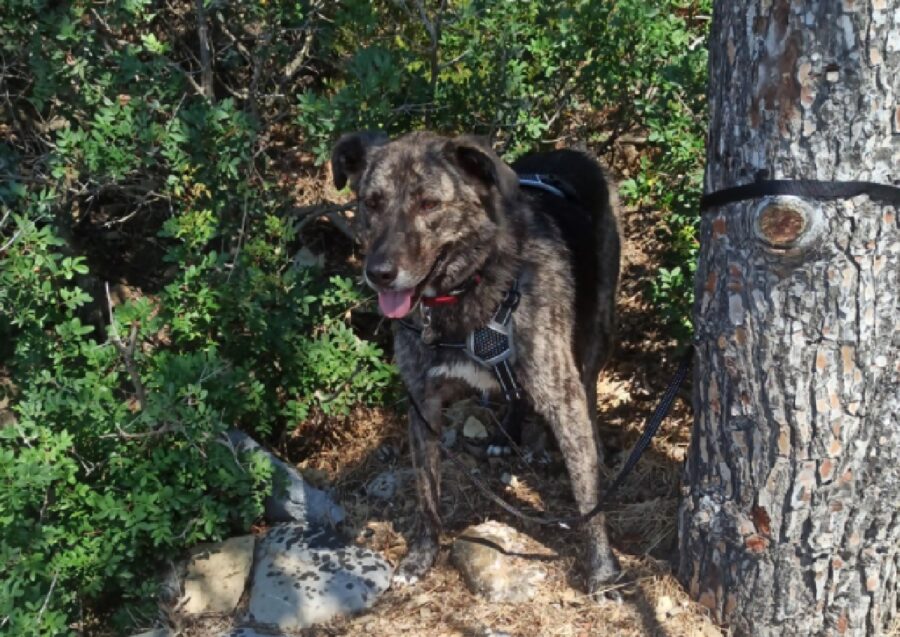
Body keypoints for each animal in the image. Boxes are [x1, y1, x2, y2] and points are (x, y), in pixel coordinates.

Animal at [334, 132, 624, 600]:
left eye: (429, 204)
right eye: (372, 202)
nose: (378, 273)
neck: (467, 290)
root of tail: (573, 151)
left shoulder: (563, 397)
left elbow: (587, 500)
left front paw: (602, 571)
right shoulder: (423, 406)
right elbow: (427, 494)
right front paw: (422, 556)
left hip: (599, 327)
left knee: (590, 387)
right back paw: (510, 435)